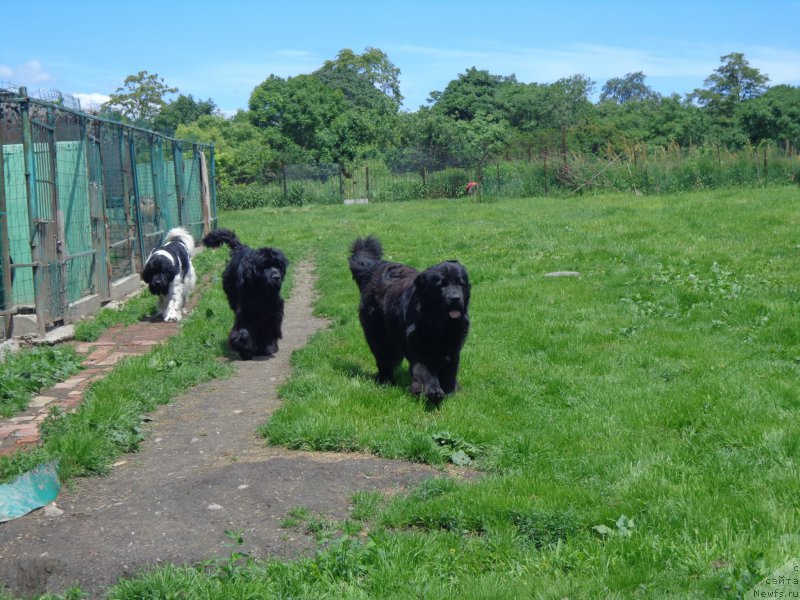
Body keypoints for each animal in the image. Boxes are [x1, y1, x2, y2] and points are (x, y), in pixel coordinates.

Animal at [202, 227, 290, 358]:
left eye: (279, 266)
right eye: (264, 266)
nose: (276, 277)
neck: (260, 291)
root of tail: (240, 248)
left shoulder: (273, 311)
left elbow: (269, 329)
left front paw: (268, 346)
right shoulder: (245, 311)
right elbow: (243, 332)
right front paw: (245, 349)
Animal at [348, 234, 472, 404]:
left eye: (461, 284)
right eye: (441, 285)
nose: (455, 299)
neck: (439, 325)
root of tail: (375, 269)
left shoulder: (452, 350)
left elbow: (449, 373)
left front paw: (450, 392)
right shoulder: (419, 351)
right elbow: (425, 372)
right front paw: (432, 391)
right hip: (378, 336)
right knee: (383, 358)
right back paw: (386, 381)